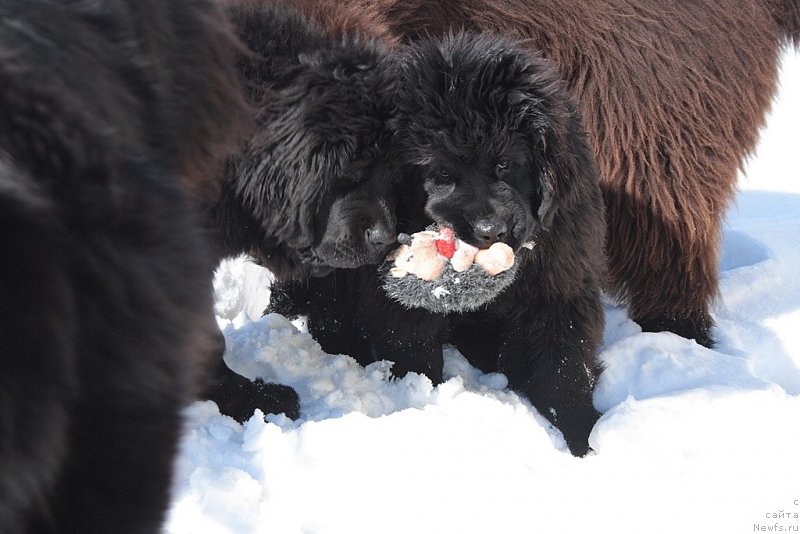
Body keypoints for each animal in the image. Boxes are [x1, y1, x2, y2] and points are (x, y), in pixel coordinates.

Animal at [270, 33, 608, 458]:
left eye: (504, 164)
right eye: (442, 173)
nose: (490, 230)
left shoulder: (561, 281)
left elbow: (563, 366)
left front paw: (586, 438)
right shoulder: (397, 300)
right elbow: (414, 345)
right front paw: (422, 398)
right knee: (326, 314)